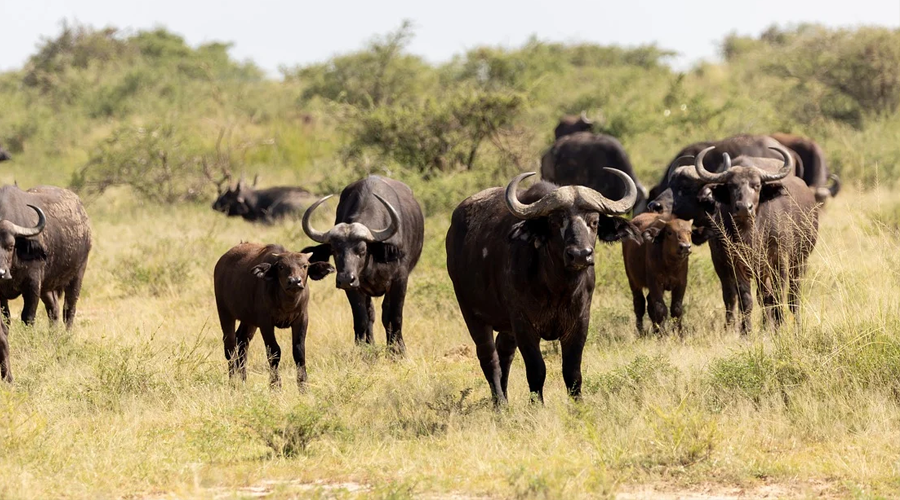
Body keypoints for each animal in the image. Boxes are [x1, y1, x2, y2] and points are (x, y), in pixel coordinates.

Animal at [0, 186, 92, 330]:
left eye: (10, 246)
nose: (1, 272)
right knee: (53, 309)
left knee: (69, 310)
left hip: (77, 275)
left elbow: (28, 317)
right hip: (47, 286)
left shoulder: (32, 285)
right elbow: (6, 319)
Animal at [302, 178, 426, 354]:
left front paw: (398, 351)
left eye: (362, 250)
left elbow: (395, 316)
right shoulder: (353, 288)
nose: (345, 278)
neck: (373, 261)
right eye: (334, 250)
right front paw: (364, 351)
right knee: (371, 314)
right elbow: (362, 318)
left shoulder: (399, 280)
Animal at [446, 170, 636, 404]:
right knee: (489, 359)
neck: (557, 288)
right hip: (472, 314)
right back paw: (500, 402)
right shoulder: (523, 324)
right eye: (555, 222)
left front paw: (578, 405)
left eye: (594, 221)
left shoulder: (580, 322)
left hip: (506, 327)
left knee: (504, 353)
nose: (580, 254)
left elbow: (572, 372)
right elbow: (537, 370)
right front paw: (537, 404)